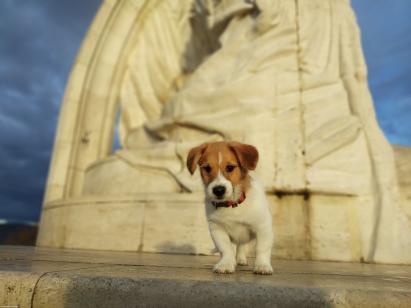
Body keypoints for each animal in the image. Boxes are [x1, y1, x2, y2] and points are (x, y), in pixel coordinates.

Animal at [187, 142, 274, 274]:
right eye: (207, 168)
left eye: (230, 167)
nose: (218, 190)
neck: (231, 205)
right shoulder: (217, 229)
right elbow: (226, 249)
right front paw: (226, 264)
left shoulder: (263, 227)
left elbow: (262, 249)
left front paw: (262, 266)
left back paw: (242, 260)